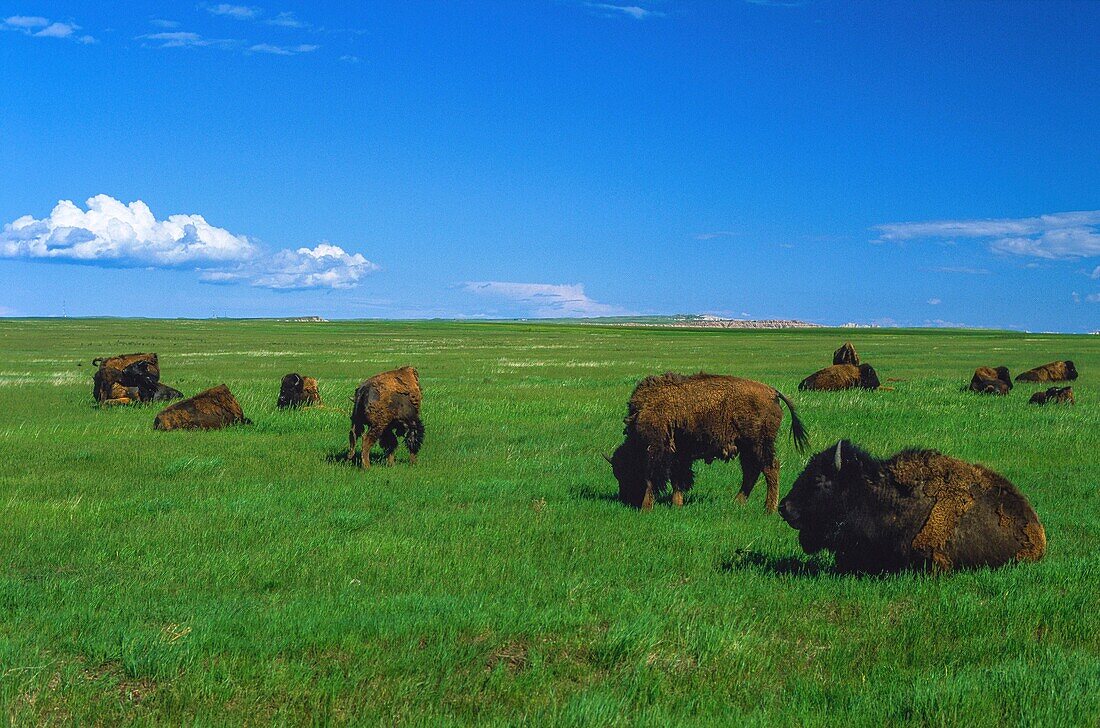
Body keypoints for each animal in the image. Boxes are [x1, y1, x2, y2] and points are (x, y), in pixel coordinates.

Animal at [611, 376, 809, 512]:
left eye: (626, 472)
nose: (624, 499)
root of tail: (772, 392)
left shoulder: (658, 451)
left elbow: (653, 479)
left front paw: (647, 507)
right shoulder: (679, 455)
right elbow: (678, 479)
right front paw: (677, 504)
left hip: (759, 444)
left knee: (770, 469)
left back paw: (769, 509)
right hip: (747, 448)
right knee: (752, 472)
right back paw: (737, 503)